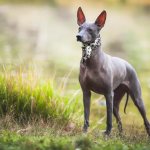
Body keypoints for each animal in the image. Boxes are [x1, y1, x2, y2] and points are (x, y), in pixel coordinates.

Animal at [76, 6, 150, 136]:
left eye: (90, 30)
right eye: (80, 28)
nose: (78, 36)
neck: (91, 61)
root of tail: (128, 64)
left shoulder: (108, 94)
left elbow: (109, 117)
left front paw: (107, 133)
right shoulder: (86, 93)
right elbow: (86, 115)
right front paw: (84, 132)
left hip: (137, 99)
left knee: (145, 120)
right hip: (116, 102)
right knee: (119, 120)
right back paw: (120, 135)